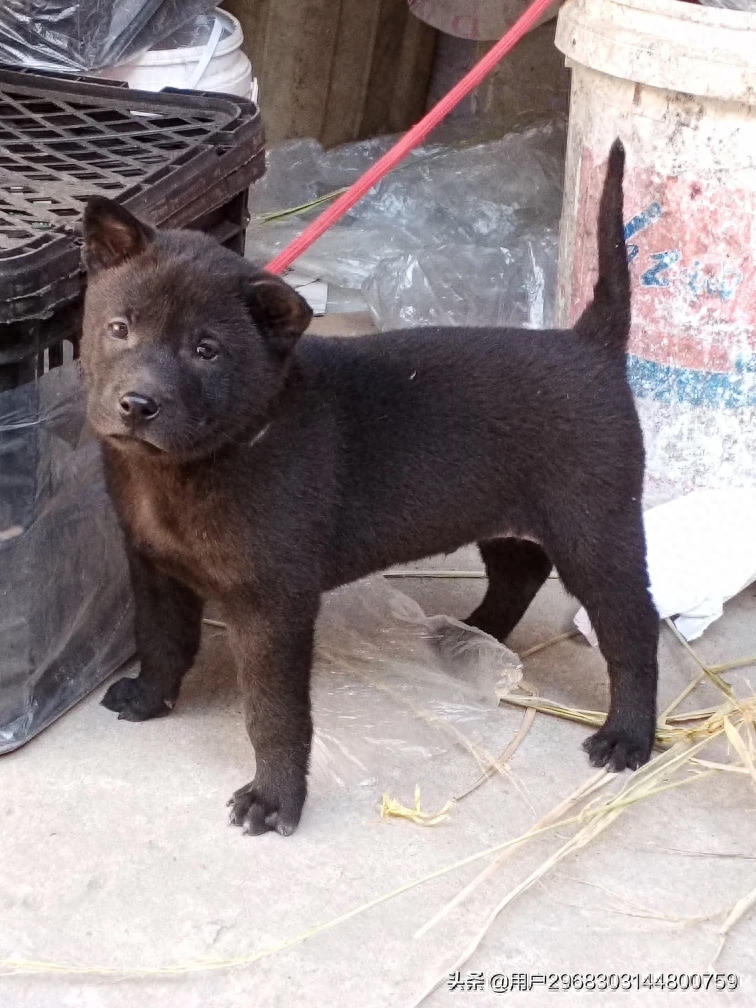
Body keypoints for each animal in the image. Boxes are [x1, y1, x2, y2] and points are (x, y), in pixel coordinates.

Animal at [82, 140, 661, 834]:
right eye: (119, 328)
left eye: (206, 350)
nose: (137, 405)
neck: (198, 462)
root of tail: (591, 345)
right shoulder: (153, 565)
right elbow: (162, 640)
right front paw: (148, 698)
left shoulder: (272, 602)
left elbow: (274, 713)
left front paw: (274, 798)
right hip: (502, 507)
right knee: (519, 569)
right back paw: (473, 632)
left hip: (595, 527)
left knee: (632, 629)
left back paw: (627, 736)